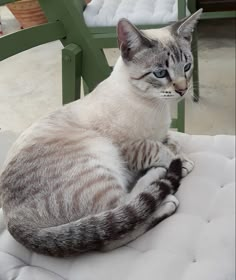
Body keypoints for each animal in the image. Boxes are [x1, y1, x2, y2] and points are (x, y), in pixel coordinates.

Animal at [0, 8, 203, 258]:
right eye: (160, 73)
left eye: (187, 67)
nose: (183, 90)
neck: (156, 106)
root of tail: (12, 221)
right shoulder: (129, 146)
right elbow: (157, 148)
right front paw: (179, 162)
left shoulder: (161, 132)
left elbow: (171, 141)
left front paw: (178, 152)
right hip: (99, 156)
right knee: (115, 223)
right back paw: (162, 190)